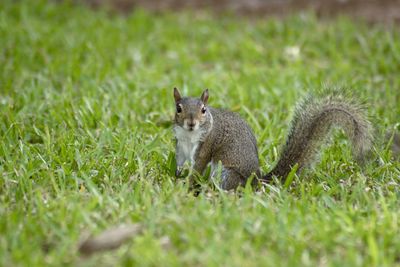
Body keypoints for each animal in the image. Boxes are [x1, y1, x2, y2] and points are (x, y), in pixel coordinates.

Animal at [173, 87, 374, 191]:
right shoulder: (180, 145)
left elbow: (198, 166)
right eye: (178, 109)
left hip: (226, 173)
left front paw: (186, 185)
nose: (191, 123)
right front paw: (176, 175)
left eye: (203, 110)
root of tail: (257, 180)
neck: (189, 135)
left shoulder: (205, 146)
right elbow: (180, 161)